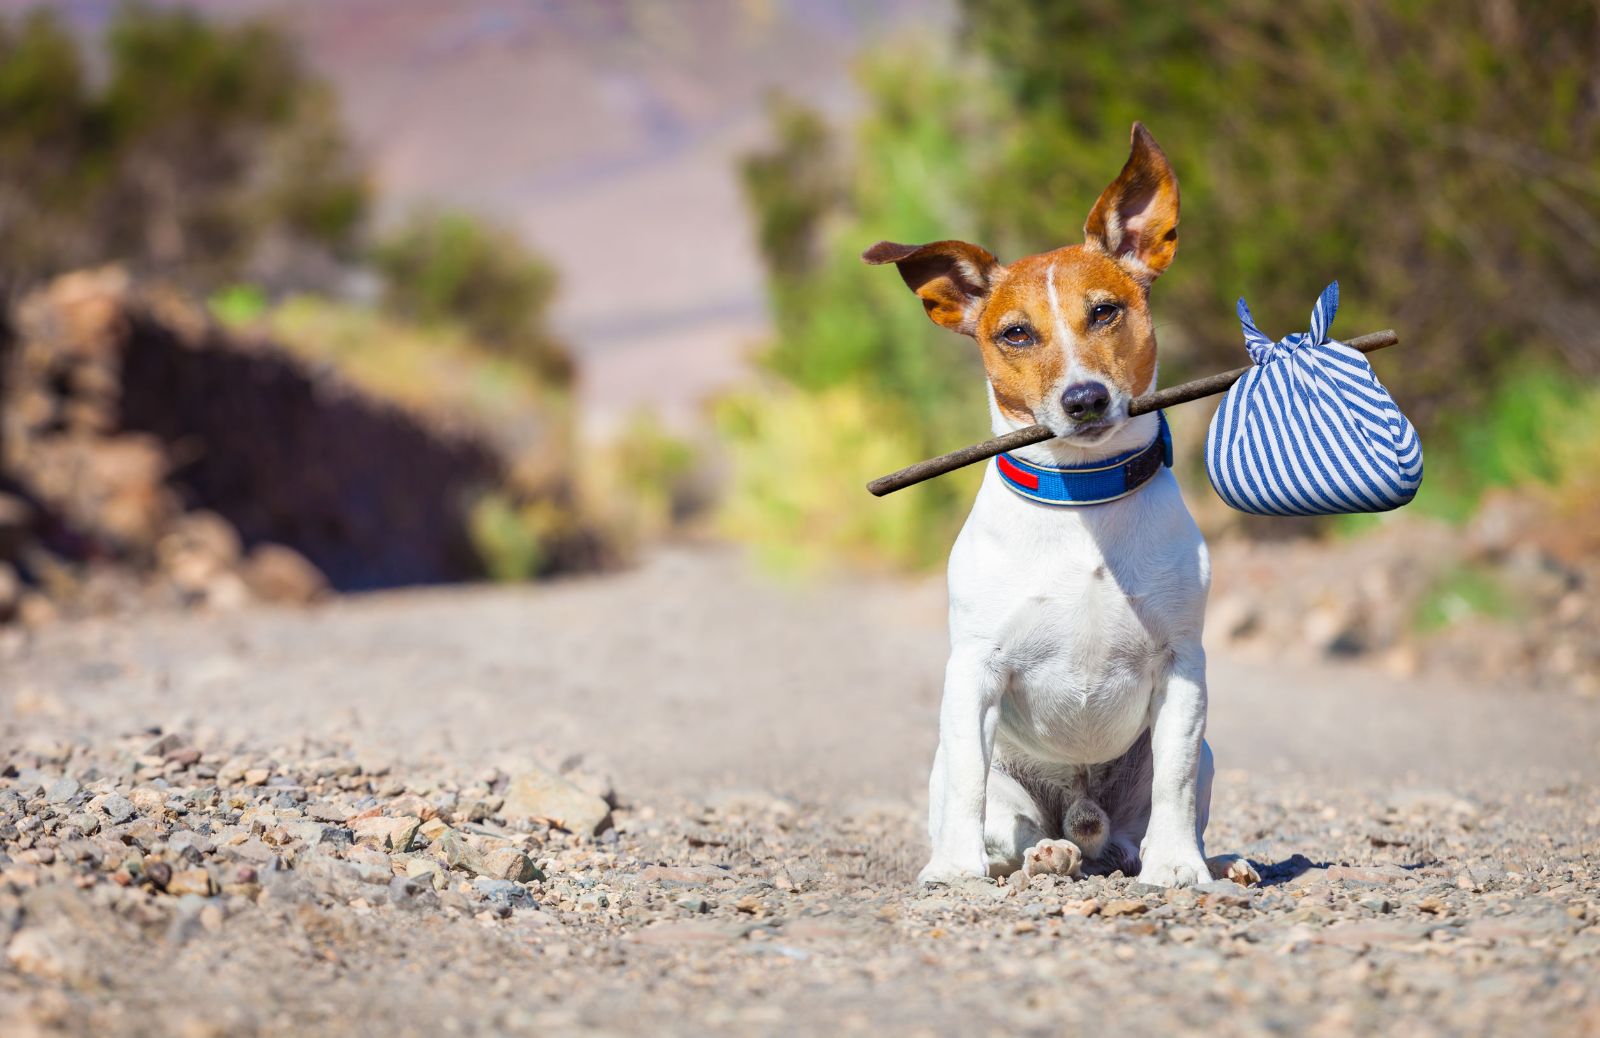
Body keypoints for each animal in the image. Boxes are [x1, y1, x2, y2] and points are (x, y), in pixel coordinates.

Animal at [864, 119, 1248, 882]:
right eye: (1016, 333)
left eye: (1105, 312)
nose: (1084, 398)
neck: (1084, 498)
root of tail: (1082, 816)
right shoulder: (974, 671)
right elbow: (969, 786)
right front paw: (954, 873)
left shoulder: (1183, 667)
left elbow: (1175, 779)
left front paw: (1180, 869)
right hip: (987, 778)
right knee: (1006, 826)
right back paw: (1043, 853)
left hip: (1194, 759)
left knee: (1140, 827)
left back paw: (1209, 860)